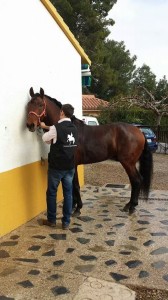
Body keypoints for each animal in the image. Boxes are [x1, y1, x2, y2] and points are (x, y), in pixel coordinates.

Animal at [26, 86, 154, 216]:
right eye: (29, 104)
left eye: (41, 104)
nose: (30, 125)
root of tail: (140, 132)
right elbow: (72, 186)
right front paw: (73, 205)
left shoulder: (73, 164)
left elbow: (75, 186)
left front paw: (77, 208)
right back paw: (129, 205)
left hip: (128, 162)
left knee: (136, 180)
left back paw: (131, 206)